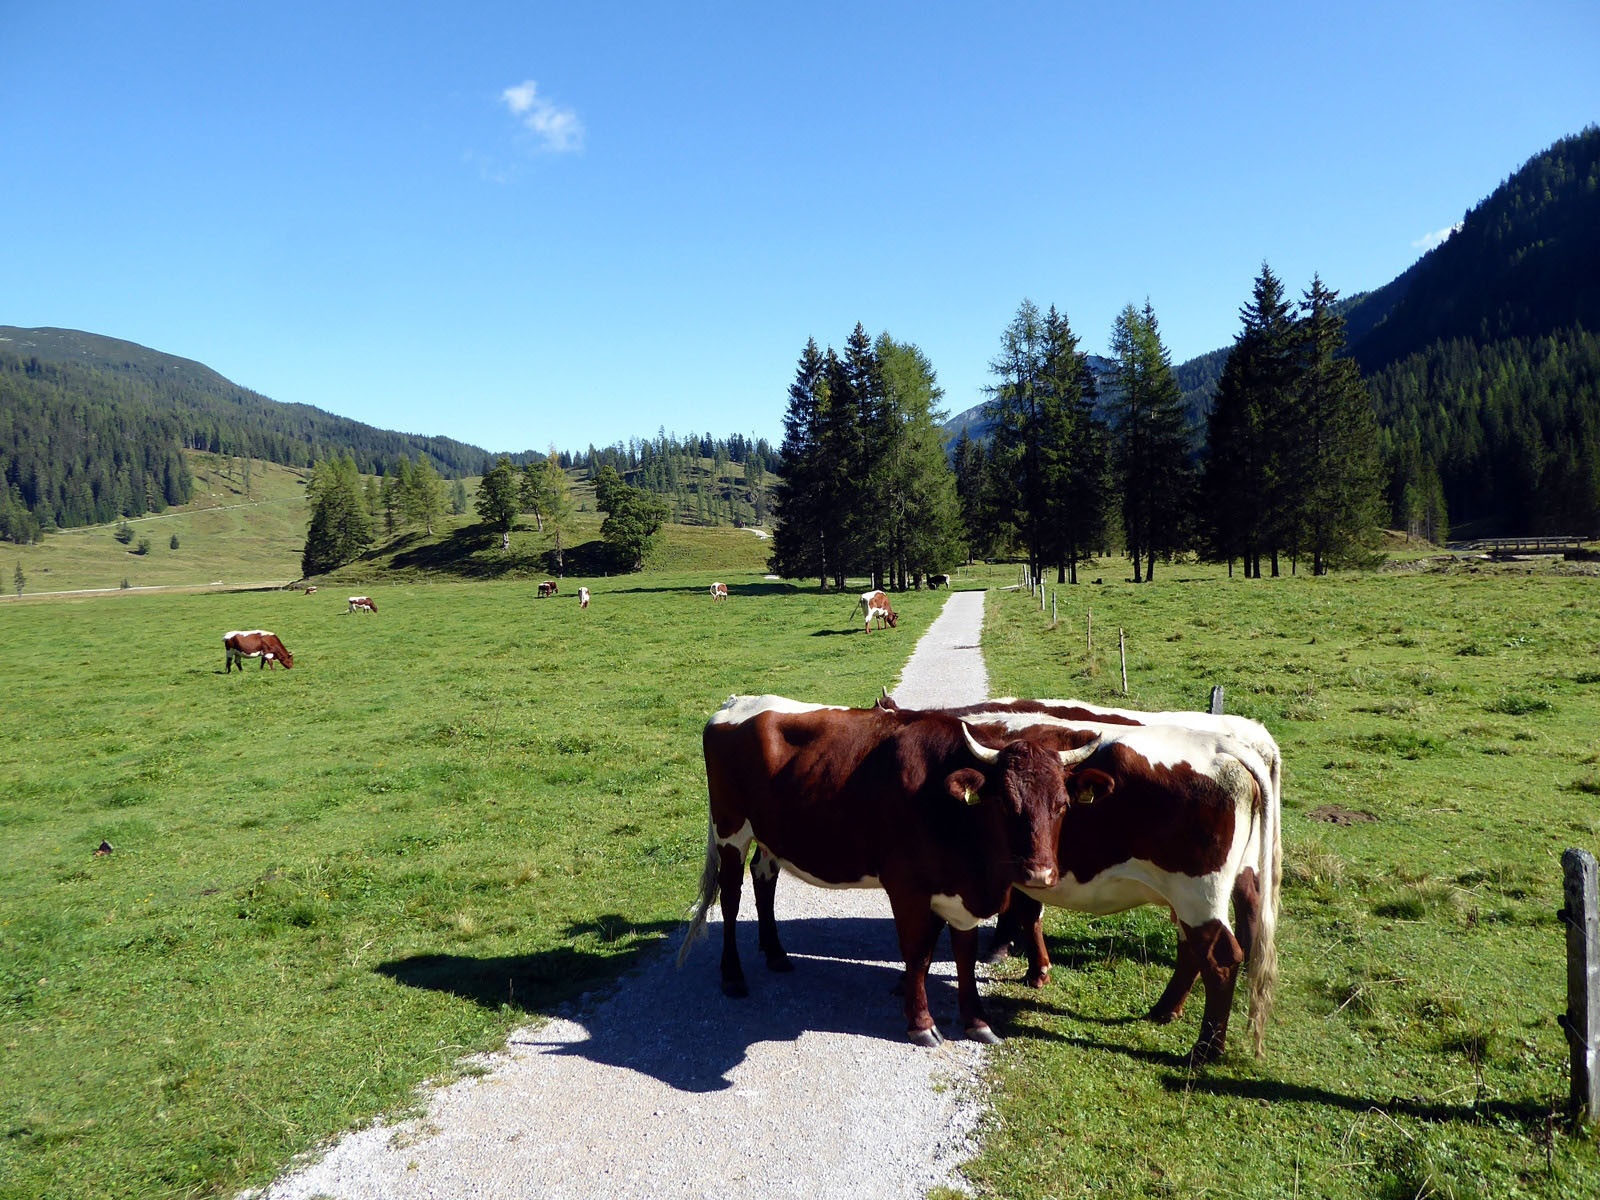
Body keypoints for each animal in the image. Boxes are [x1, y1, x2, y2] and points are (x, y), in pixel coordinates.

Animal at [675, 700, 1100, 1049]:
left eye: (1062, 805)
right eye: (1005, 804)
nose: (1039, 873)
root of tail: (734, 705)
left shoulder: (959, 892)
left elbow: (963, 954)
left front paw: (977, 1021)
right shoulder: (906, 886)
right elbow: (917, 954)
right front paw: (921, 1024)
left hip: (771, 833)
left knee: (764, 880)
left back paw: (776, 953)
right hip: (731, 828)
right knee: (731, 898)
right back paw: (733, 975)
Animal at [883, 694, 1280, 1062]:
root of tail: (1226, 745)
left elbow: (933, 933)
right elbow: (1027, 912)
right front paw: (1035, 970)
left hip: (1198, 891)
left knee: (1221, 956)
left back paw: (1205, 1050)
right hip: (1196, 890)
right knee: (1198, 945)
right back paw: (1165, 1010)